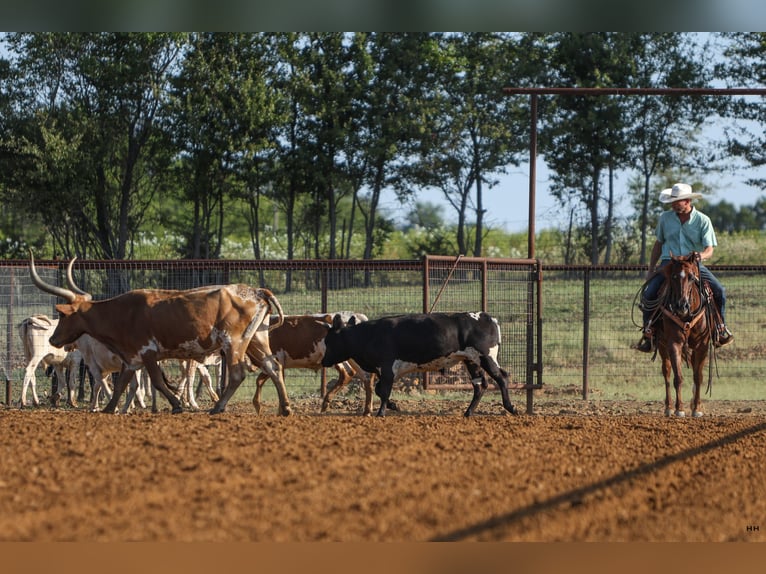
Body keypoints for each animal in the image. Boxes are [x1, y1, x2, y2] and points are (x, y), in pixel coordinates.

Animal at [28, 254, 290, 416]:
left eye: (62, 316)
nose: (53, 340)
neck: (121, 312)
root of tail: (256, 291)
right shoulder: (132, 358)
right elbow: (122, 383)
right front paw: (109, 409)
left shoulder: (148, 353)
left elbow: (155, 381)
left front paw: (176, 405)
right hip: (256, 340)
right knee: (273, 366)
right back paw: (285, 407)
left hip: (234, 342)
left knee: (237, 374)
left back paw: (217, 408)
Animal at [320, 312, 520, 416]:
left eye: (329, 340)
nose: (323, 361)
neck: (369, 334)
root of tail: (485, 316)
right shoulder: (383, 371)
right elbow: (379, 390)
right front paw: (393, 406)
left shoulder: (387, 369)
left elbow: (383, 392)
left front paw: (381, 413)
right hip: (471, 361)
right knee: (480, 385)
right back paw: (468, 412)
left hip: (486, 357)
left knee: (501, 378)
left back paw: (510, 408)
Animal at [652, 255, 716, 418]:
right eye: (674, 277)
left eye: (691, 277)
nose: (682, 306)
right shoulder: (674, 343)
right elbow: (678, 377)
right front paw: (679, 408)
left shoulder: (702, 345)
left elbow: (698, 377)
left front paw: (697, 408)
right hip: (662, 345)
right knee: (667, 372)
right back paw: (668, 407)